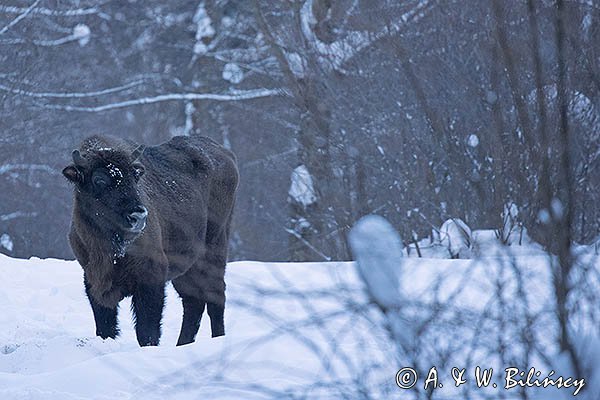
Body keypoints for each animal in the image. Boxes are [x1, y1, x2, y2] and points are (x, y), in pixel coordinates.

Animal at [62, 135, 237, 346]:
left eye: (134, 178)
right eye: (99, 179)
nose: (138, 216)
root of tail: (226, 154)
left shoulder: (151, 277)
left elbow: (147, 329)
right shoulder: (93, 279)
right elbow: (105, 326)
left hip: (215, 250)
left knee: (215, 298)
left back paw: (218, 339)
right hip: (188, 266)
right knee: (193, 302)